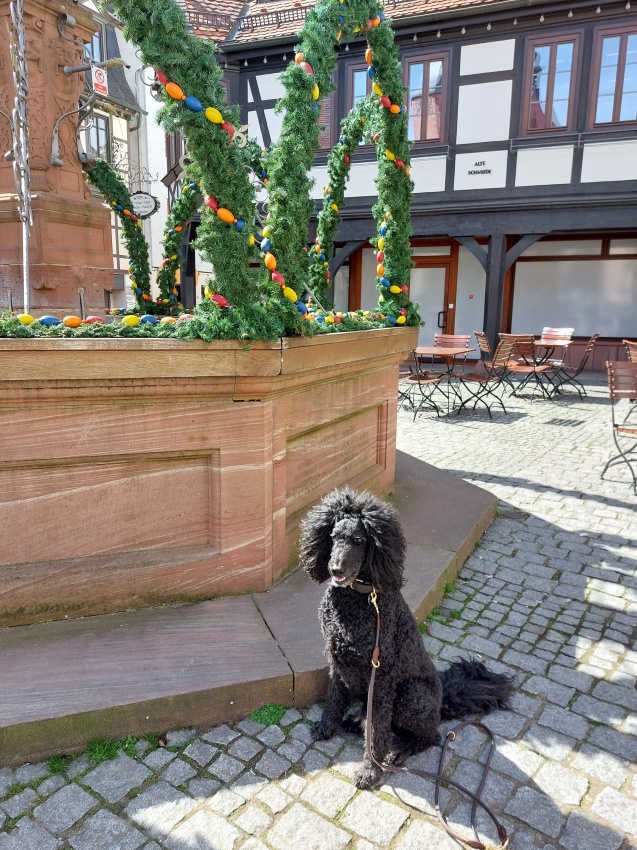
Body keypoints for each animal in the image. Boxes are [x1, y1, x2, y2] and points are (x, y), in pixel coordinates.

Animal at [298, 484, 512, 788]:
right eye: (334, 537)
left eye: (359, 540)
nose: (335, 569)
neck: (359, 599)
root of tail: (441, 700)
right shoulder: (337, 660)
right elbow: (334, 697)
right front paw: (327, 726)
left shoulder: (382, 676)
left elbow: (376, 731)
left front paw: (369, 770)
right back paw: (355, 722)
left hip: (411, 695)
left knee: (429, 736)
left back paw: (397, 752)